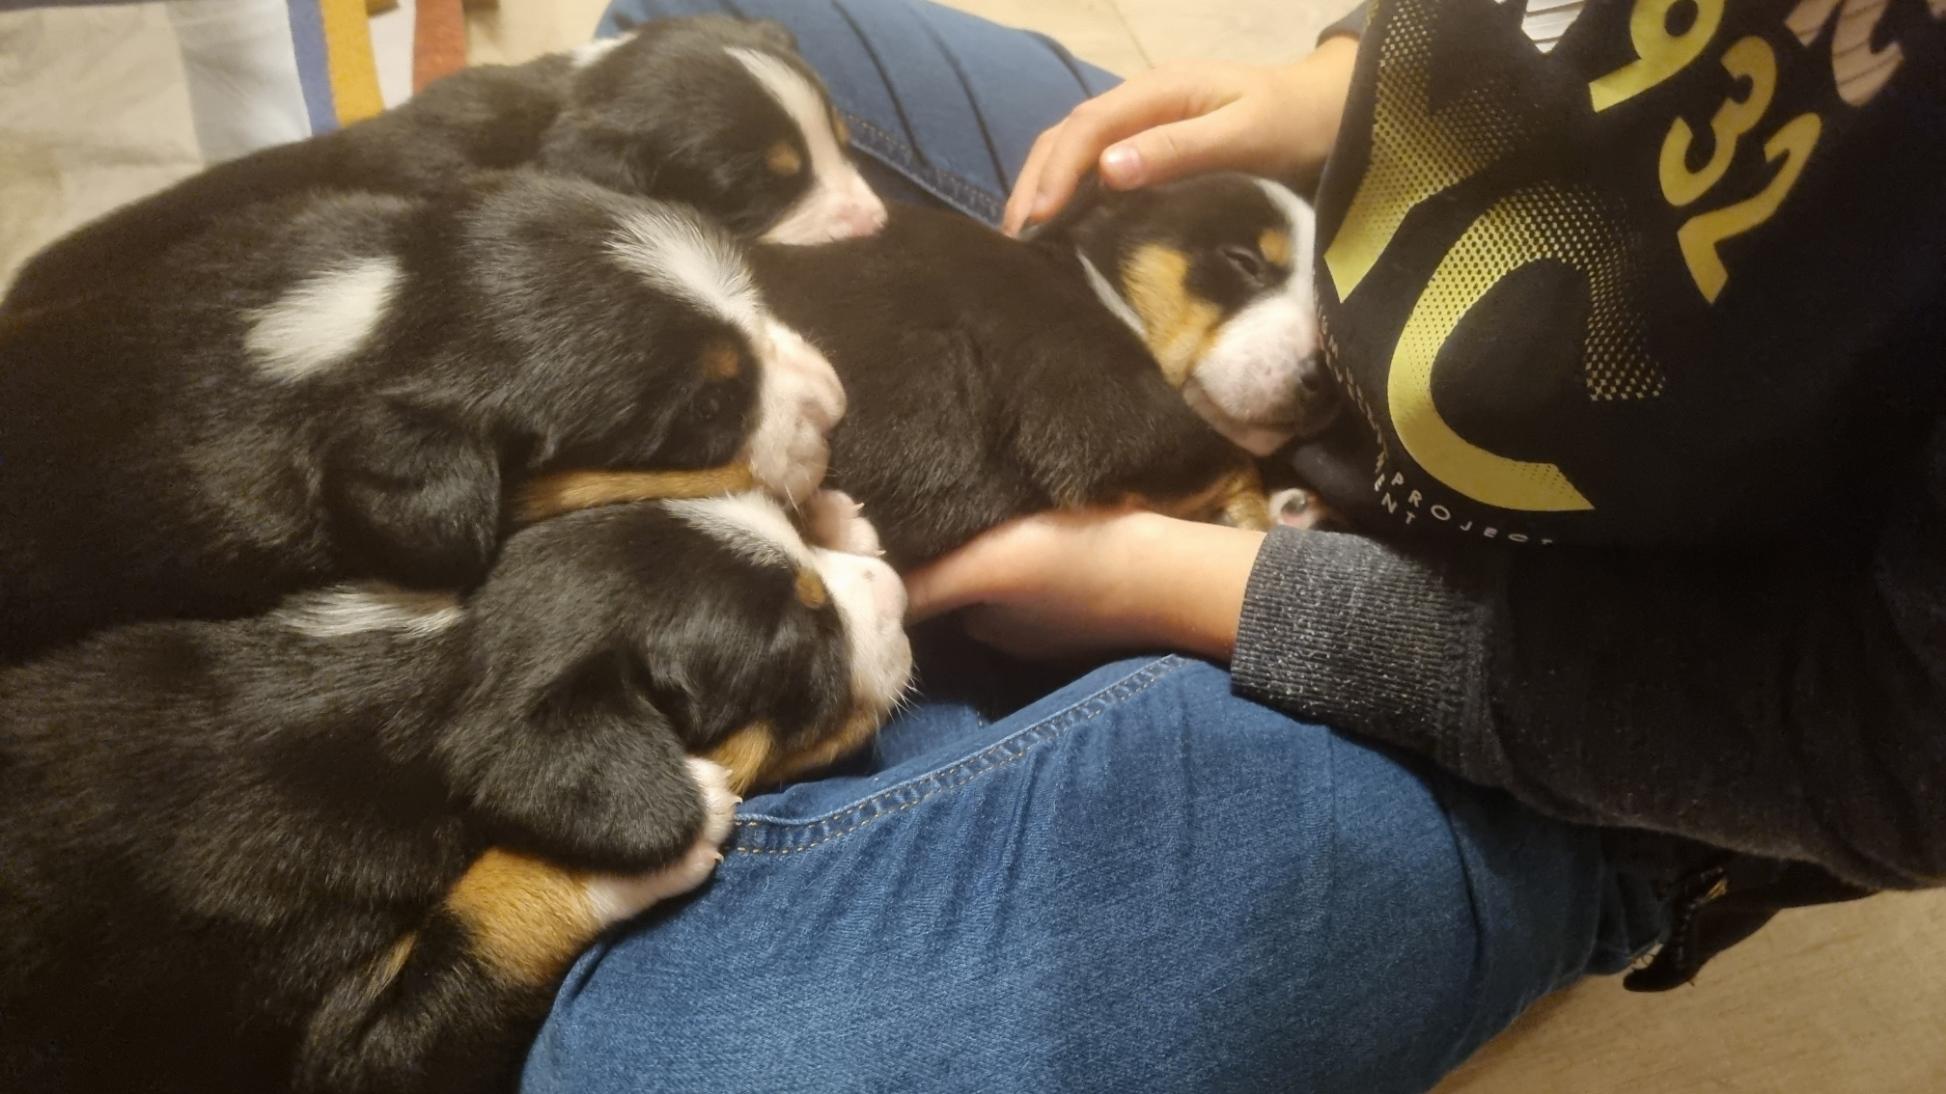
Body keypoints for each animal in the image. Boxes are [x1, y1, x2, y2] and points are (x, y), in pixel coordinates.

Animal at [0, 490, 911, 1094]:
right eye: (805, 645)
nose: (898, 591)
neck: (437, 648)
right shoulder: (345, 1048)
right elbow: (486, 925)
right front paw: (654, 838)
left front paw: (840, 524)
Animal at [735, 173, 1338, 566]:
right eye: (1244, 262)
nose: (1325, 383)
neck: (1092, 283)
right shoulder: (1100, 411)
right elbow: (1230, 458)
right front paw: (1265, 515)